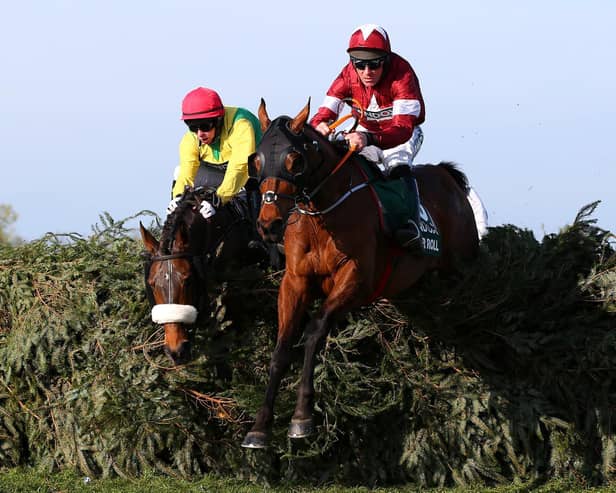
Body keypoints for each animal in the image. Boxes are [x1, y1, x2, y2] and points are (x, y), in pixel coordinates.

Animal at [242, 99, 482, 446]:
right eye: (256, 160)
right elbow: (282, 346)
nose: (268, 224)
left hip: (462, 267)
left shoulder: (357, 279)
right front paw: (259, 427)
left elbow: (314, 331)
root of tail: (448, 177)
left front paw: (302, 417)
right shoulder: (295, 281)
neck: (322, 216)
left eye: (294, 160)